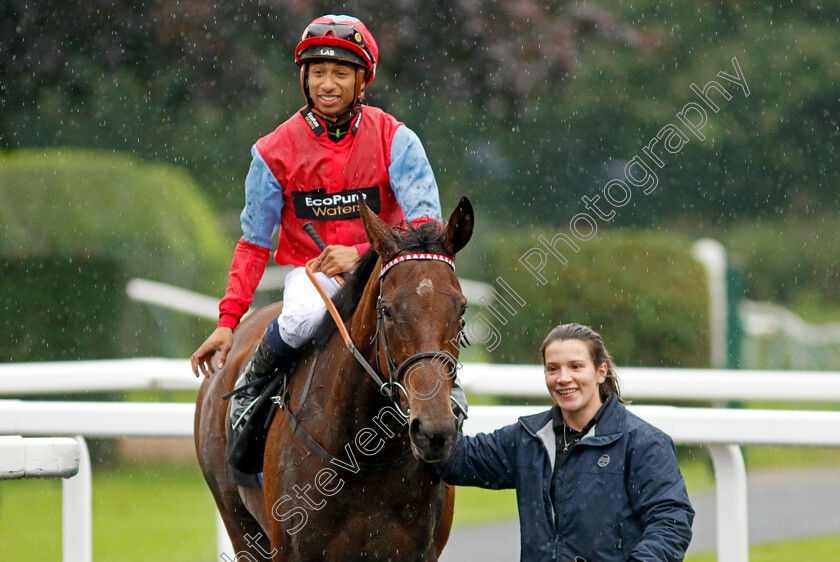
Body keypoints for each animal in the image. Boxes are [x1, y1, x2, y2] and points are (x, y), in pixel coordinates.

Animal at [194, 196, 476, 556]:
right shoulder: (290, 549)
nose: (433, 430)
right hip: (238, 523)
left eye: (461, 309)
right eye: (387, 311)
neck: (364, 458)